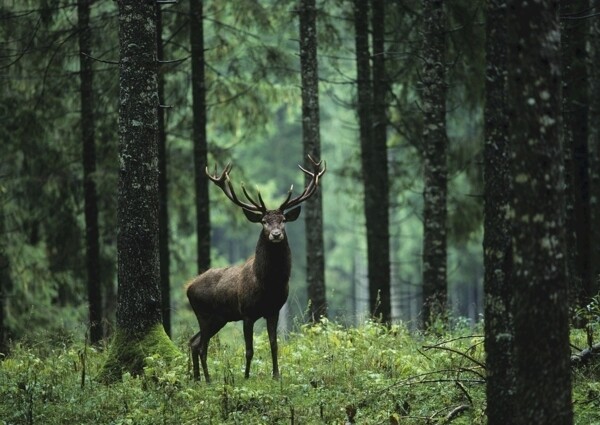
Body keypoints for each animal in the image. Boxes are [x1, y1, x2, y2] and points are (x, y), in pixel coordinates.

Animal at [188, 155, 328, 380]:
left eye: (283, 220)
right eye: (263, 221)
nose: (276, 234)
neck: (268, 284)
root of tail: (188, 287)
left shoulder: (274, 310)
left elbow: (274, 344)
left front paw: (276, 375)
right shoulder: (247, 312)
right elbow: (249, 349)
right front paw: (246, 377)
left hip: (219, 318)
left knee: (194, 342)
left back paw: (197, 379)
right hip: (204, 314)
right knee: (201, 346)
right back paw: (207, 379)